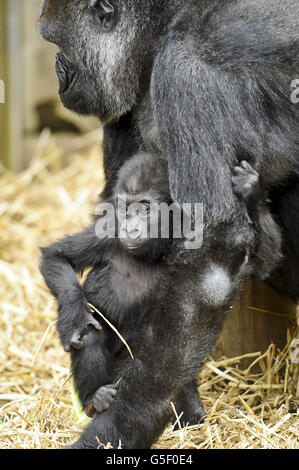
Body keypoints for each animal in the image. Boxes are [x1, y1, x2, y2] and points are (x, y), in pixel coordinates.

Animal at [38, 0, 299, 448]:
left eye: (58, 43)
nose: (56, 68)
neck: (166, 23)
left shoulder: (187, 67)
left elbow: (214, 251)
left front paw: (122, 425)